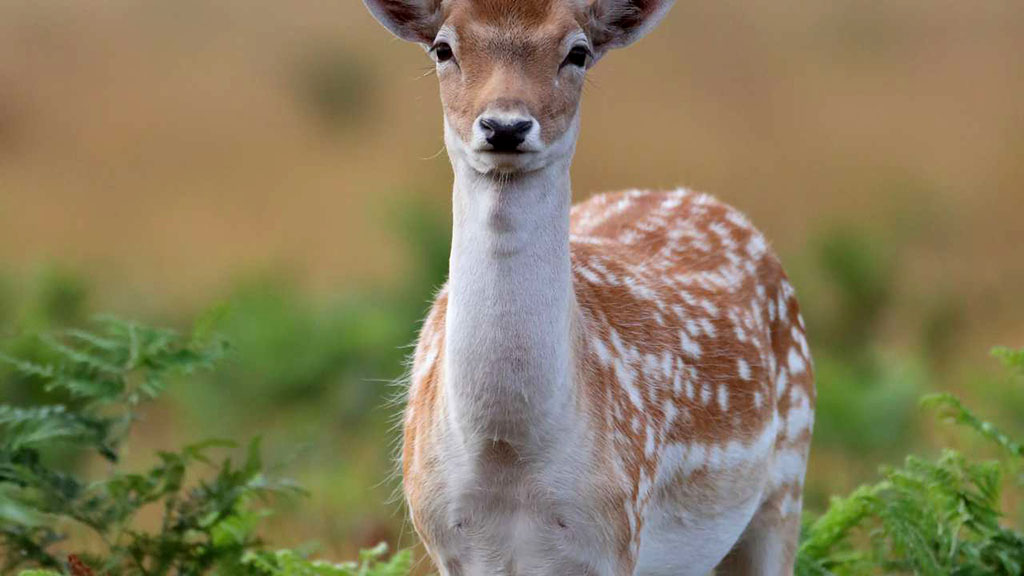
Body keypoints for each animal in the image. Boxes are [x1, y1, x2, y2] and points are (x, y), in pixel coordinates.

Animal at [362, 1, 815, 574]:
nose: (505, 125)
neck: (506, 454)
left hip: (788, 476)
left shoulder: (615, 533)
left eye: (577, 52)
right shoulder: (442, 536)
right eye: (443, 48)